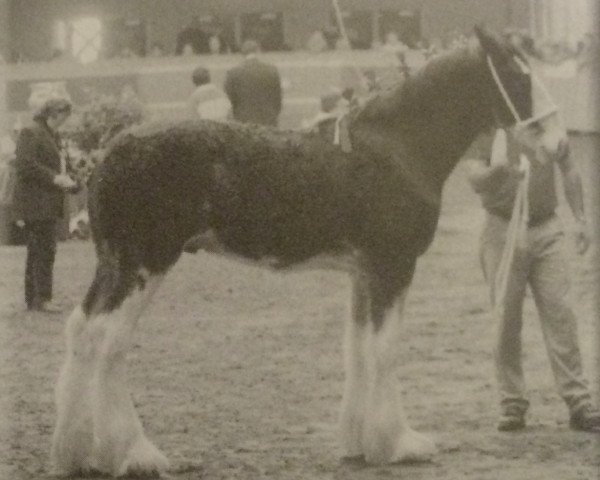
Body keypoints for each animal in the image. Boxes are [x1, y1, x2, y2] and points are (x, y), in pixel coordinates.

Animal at [50, 28, 568, 478]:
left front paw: (359, 444)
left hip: (114, 264)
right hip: (144, 263)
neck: (397, 148)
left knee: (81, 330)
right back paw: (136, 454)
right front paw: (400, 444)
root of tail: (106, 155)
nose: (560, 143)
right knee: (108, 341)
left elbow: (358, 349)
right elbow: (385, 350)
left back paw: (78, 454)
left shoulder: (363, 273)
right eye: (519, 75)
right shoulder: (392, 266)